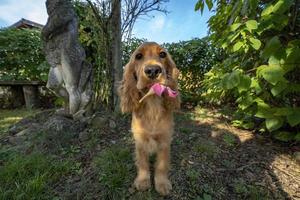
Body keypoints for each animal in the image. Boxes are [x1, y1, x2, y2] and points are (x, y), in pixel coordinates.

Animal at [119, 42, 180, 195]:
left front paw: (162, 183)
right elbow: (142, 163)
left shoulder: (165, 140)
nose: (153, 70)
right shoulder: (140, 140)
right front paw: (142, 181)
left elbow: (162, 165)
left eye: (163, 54)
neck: (152, 104)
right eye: (138, 56)